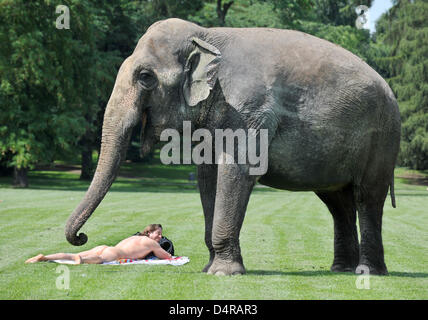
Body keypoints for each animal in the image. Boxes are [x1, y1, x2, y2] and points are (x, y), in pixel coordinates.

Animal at [64, 18, 402, 276]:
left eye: (145, 76)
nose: (81, 236)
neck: (206, 36)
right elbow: (207, 176)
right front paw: (209, 269)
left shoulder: (249, 111)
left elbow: (236, 172)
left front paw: (223, 273)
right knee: (337, 202)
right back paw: (341, 270)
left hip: (382, 139)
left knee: (367, 198)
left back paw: (369, 273)